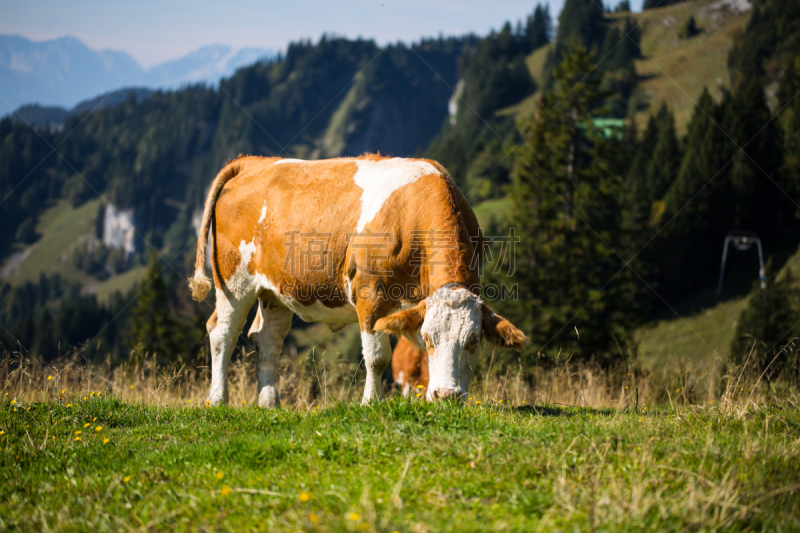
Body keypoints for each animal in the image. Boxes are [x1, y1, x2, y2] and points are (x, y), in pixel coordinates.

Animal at [188, 156, 524, 406]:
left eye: (474, 340)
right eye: (429, 338)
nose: (446, 396)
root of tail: (251, 162)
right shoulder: (371, 293)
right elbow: (377, 357)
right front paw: (371, 403)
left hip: (274, 290)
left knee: (266, 340)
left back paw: (269, 403)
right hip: (234, 281)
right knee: (222, 332)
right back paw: (217, 400)